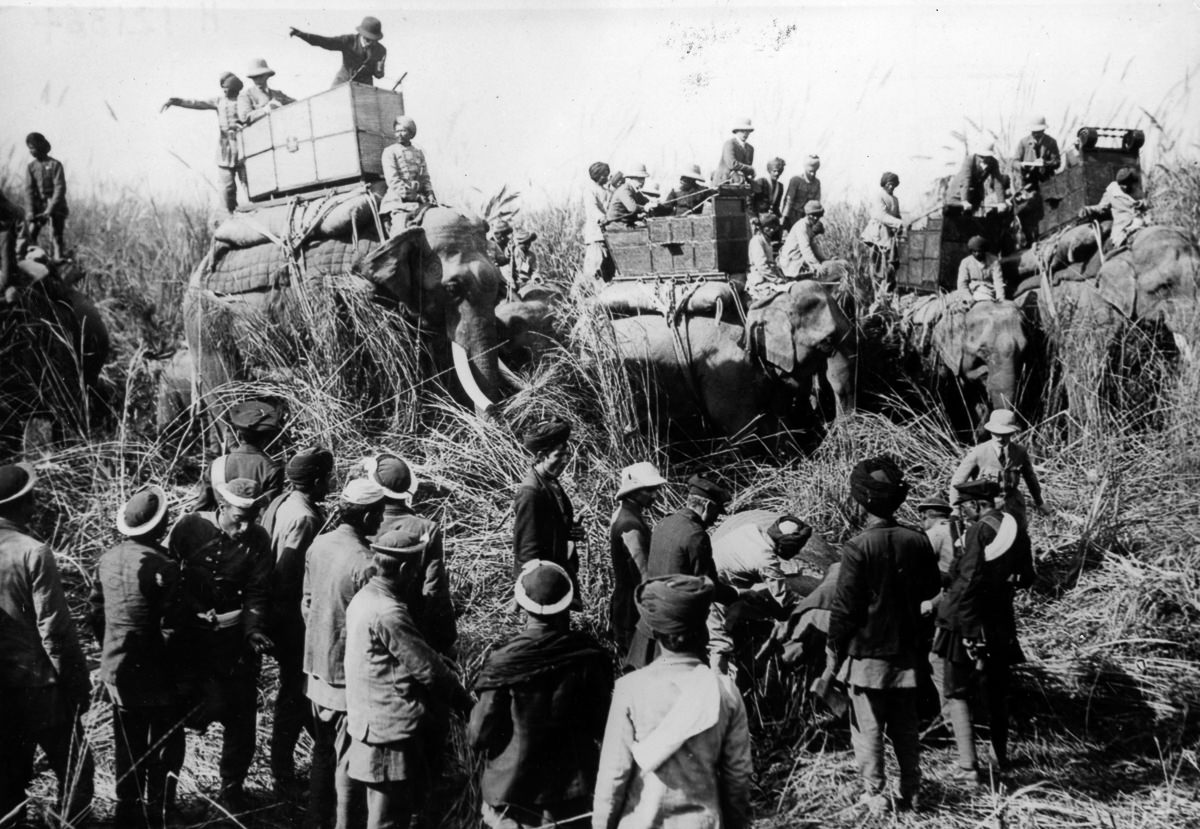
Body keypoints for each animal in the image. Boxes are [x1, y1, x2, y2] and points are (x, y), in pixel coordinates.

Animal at [177, 207, 511, 431]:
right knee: (228, 401)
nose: (497, 411)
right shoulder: (356, 299)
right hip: (204, 330)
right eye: (452, 288)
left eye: (501, 287)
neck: (402, 224)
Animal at [609, 280, 854, 448]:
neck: (760, 303)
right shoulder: (729, 372)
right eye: (826, 342)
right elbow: (743, 429)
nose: (828, 434)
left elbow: (774, 420)